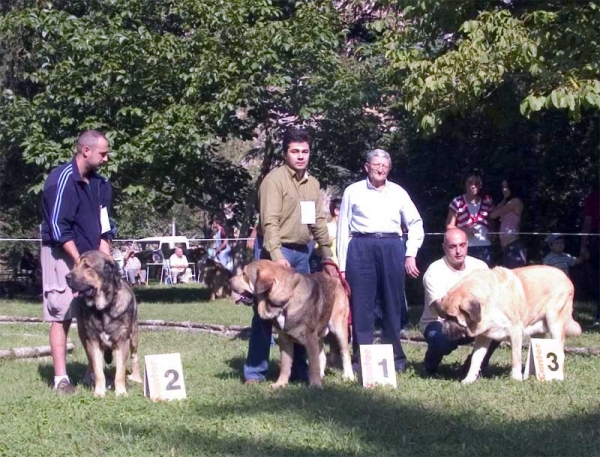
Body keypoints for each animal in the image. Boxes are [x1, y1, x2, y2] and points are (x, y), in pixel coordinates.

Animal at [229, 258, 352, 386]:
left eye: (244, 274)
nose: (229, 281)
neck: (284, 303)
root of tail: (335, 278)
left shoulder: (310, 337)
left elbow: (313, 364)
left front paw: (315, 385)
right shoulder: (285, 339)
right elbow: (285, 364)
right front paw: (280, 384)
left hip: (338, 328)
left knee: (344, 353)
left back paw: (348, 376)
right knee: (322, 356)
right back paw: (322, 376)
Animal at [436, 266, 580, 382]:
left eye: (453, 318)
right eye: (444, 316)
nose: (443, 332)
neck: (490, 301)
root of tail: (565, 276)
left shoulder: (515, 332)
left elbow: (515, 358)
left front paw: (516, 378)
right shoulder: (483, 337)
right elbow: (475, 359)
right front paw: (469, 379)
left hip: (554, 321)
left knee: (560, 352)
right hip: (539, 333)